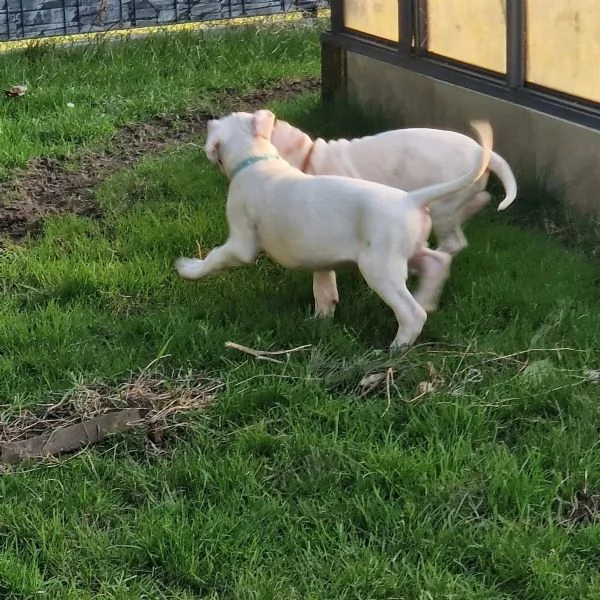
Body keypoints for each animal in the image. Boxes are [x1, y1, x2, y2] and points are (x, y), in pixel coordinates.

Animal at [270, 119, 516, 255]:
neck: (310, 158)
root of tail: (480, 151)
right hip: (456, 200)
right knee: (479, 201)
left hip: (442, 207)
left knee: (453, 243)